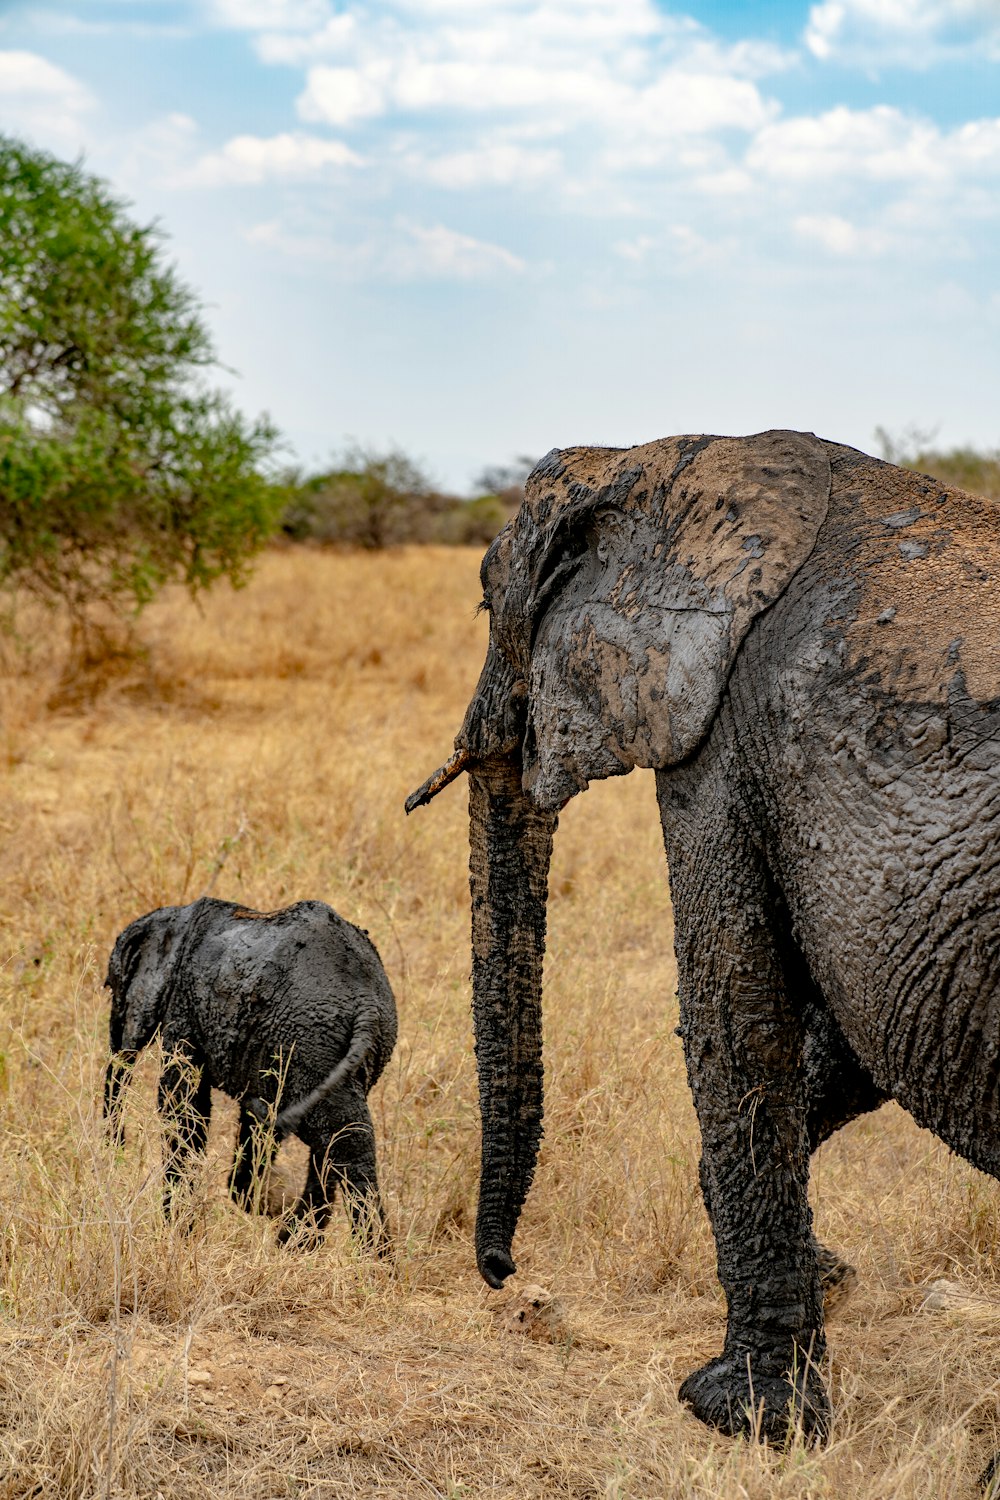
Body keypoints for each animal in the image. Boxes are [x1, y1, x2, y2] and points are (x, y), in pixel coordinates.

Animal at [101, 894, 395, 1248]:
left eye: (114, 989)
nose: (118, 1144)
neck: (174, 921)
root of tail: (367, 1004)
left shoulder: (182, 1007)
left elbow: (184, 1104)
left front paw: (177, 1234)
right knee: (339, 1138)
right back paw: (310, 1244)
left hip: (306, 1044)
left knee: (332, 1137)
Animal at [407, 432, 1000, 1440]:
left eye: (489, 599)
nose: (501, 1274)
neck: (653, 458)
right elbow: (855, 1032)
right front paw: (830, 1284)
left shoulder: (721, 741)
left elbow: (734, 1005)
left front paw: (740, 1413)